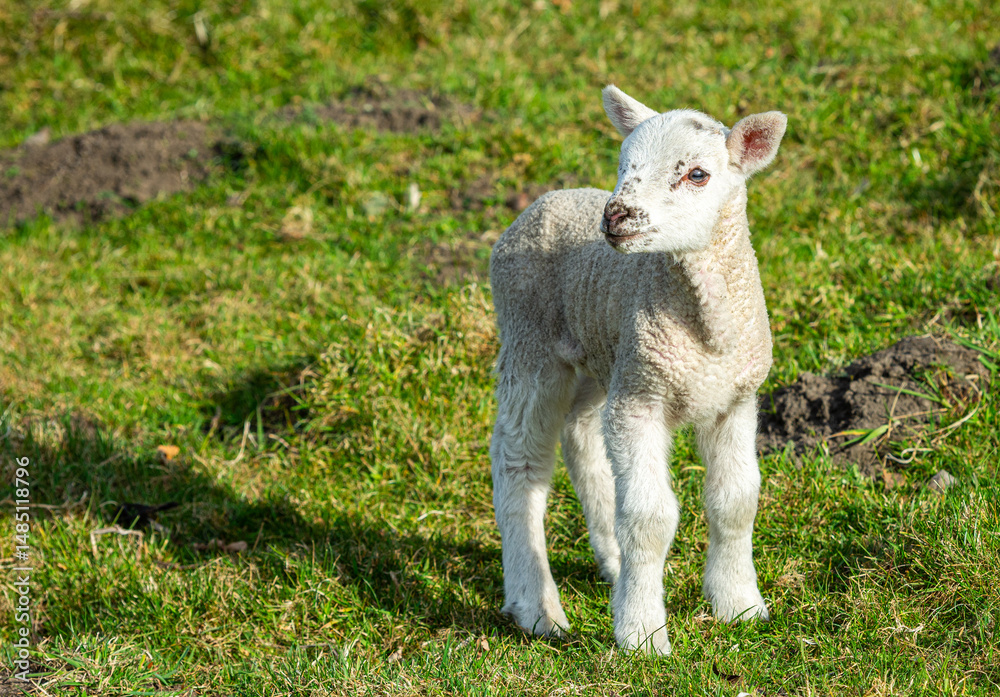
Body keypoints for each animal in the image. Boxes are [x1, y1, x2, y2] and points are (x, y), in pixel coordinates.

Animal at [488, 85, 787, 655]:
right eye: (625, 164)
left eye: (697, 174)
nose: (616, 215)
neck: (706, 333)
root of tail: (546, 200)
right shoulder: (641, 400)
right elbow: (650, 518)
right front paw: (642, 634)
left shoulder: (735, 398)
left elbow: (736, 502)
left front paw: (740, 606)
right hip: (529, 338)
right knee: (520, 460)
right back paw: (537, 607)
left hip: (605, 354)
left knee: (581, 434)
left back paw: (612, 563)